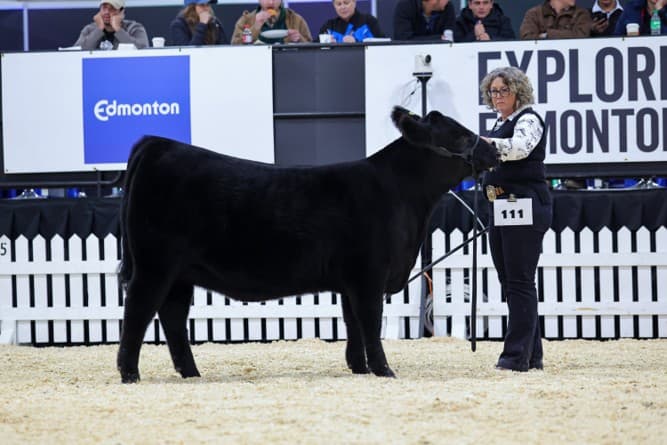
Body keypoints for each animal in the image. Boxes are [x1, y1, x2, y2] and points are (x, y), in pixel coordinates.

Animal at [116, 106, 499, 383]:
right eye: (460, 135)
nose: (494, 148)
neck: (399, 193)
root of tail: (157, 144)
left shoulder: (351, 281)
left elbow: (353, 323)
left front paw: (359, 367)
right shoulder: (369, 275)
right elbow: (370, 321)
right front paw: (384, 369)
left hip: (180, 273)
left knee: (172, 316)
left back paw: (191, 373)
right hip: (154, 265)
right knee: (138, 310)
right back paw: (129, 373)